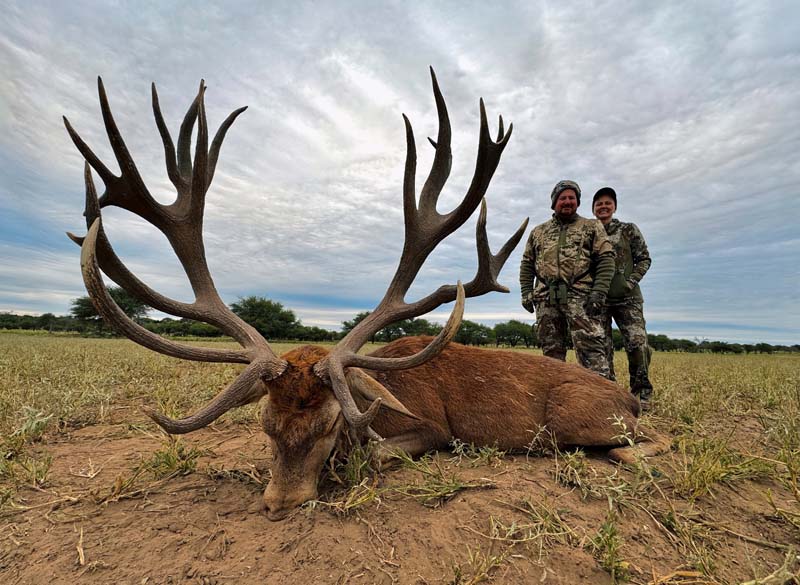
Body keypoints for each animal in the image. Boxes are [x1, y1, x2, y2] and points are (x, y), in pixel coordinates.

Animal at [65, 70, 669, 521]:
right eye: (265, 425)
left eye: (331, 424)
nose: (279, 503)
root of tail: (630, 400)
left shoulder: (433, 428)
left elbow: (376, 456)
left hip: (578, 419)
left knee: (643, 445)